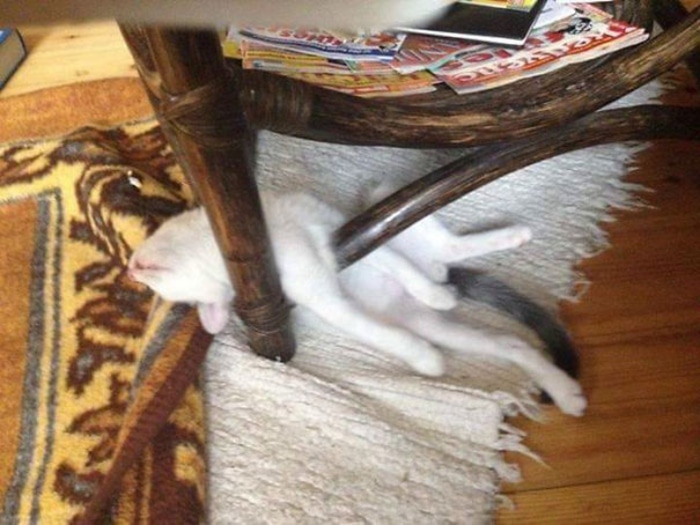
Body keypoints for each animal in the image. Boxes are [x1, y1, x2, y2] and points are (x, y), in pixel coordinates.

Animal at [129, 186, 588, 416]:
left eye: (159, 290)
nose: (132, 270)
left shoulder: (349, 238)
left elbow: (397, 266)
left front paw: (435, 295)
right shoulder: (319, 296)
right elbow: (367, 328)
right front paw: (425, 360)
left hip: (383, 204)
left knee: (441, 252)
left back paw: (489, 252)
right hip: (424, 319)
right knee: (507, 341)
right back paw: (565, 392)